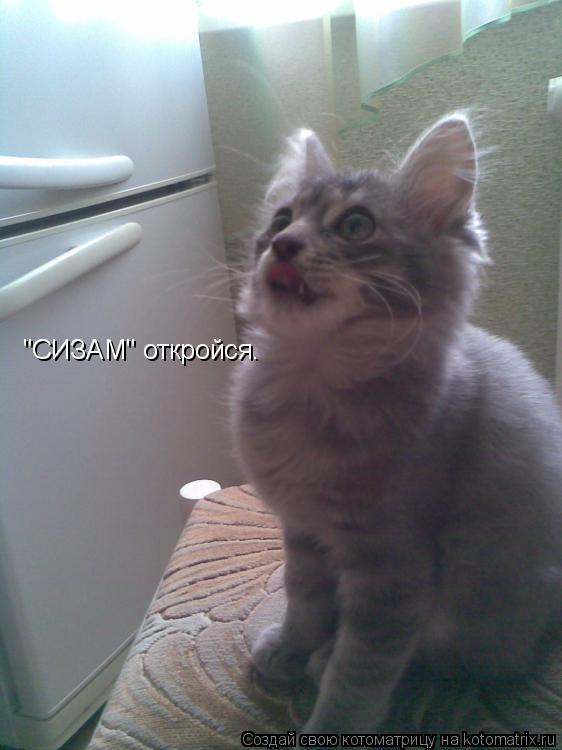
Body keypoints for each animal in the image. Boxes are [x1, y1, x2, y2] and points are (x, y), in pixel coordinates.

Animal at [230, 114, 562, 735]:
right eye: (282, 220)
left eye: (355, 225)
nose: (283, 243)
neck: (311, 383)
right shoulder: (303, 530)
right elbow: (303, 596)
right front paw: (291, 644)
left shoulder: (395, 570)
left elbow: (361, 673)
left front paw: (329, 721)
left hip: (474, 607)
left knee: (448, 661)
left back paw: (325, 661)